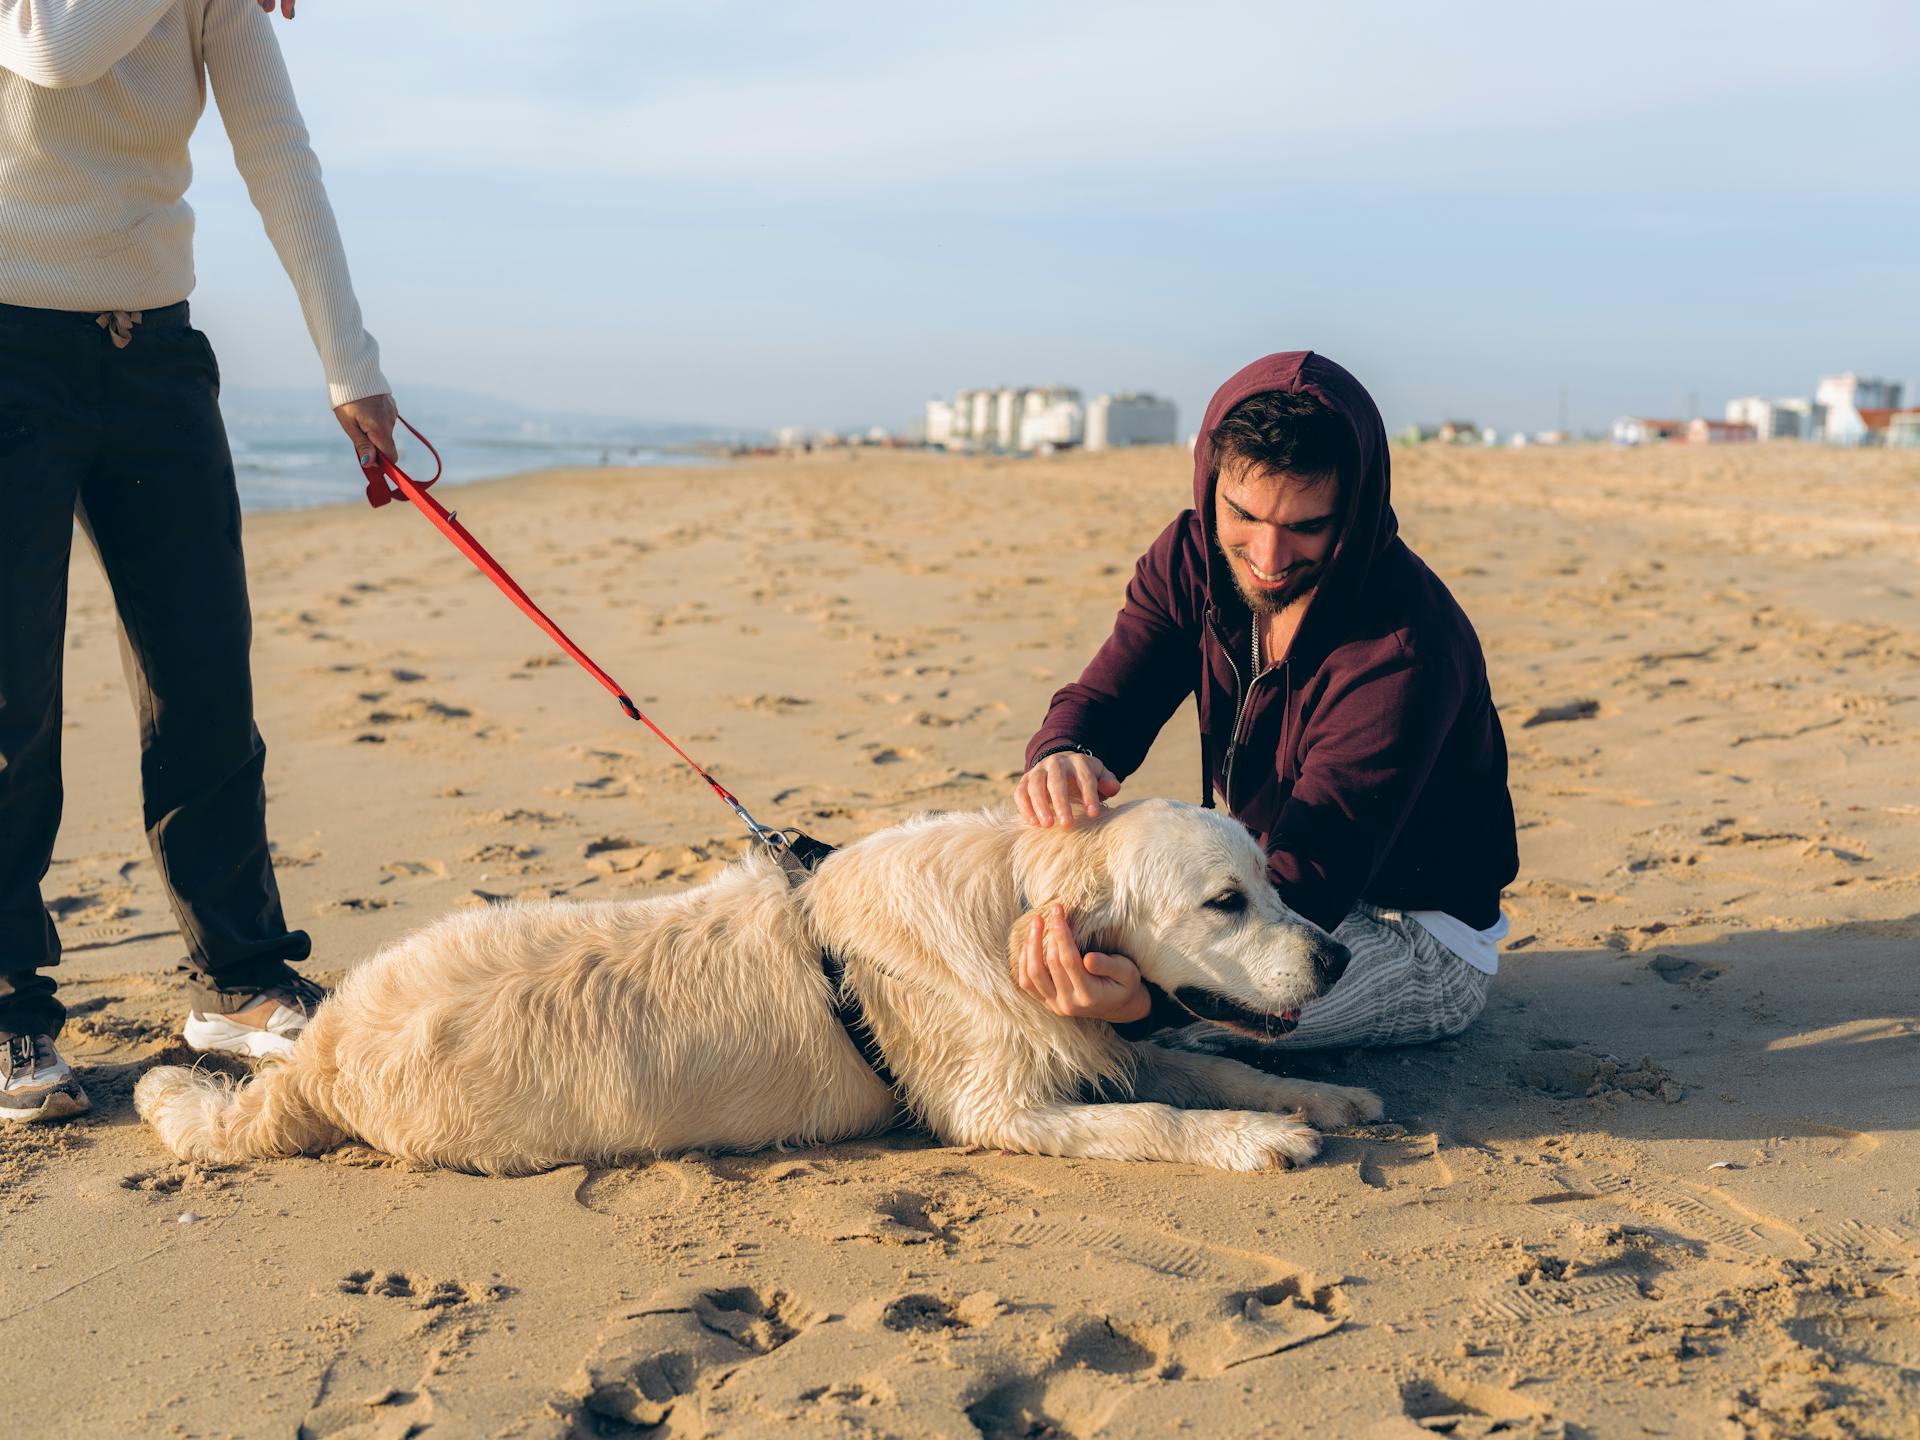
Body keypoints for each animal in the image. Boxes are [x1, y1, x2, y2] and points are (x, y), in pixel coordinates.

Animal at [142, 806, 1390, 1175]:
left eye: (1275, 881)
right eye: (1225, 901)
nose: (1334, 958)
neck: (1007, 908)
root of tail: (331, 1063)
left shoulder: (1099, 1032)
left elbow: (1199, 1055)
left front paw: (1324, 1099)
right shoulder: (998, 1107)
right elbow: (1158, 1112)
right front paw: (1256, 1138)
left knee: (267, 1044)